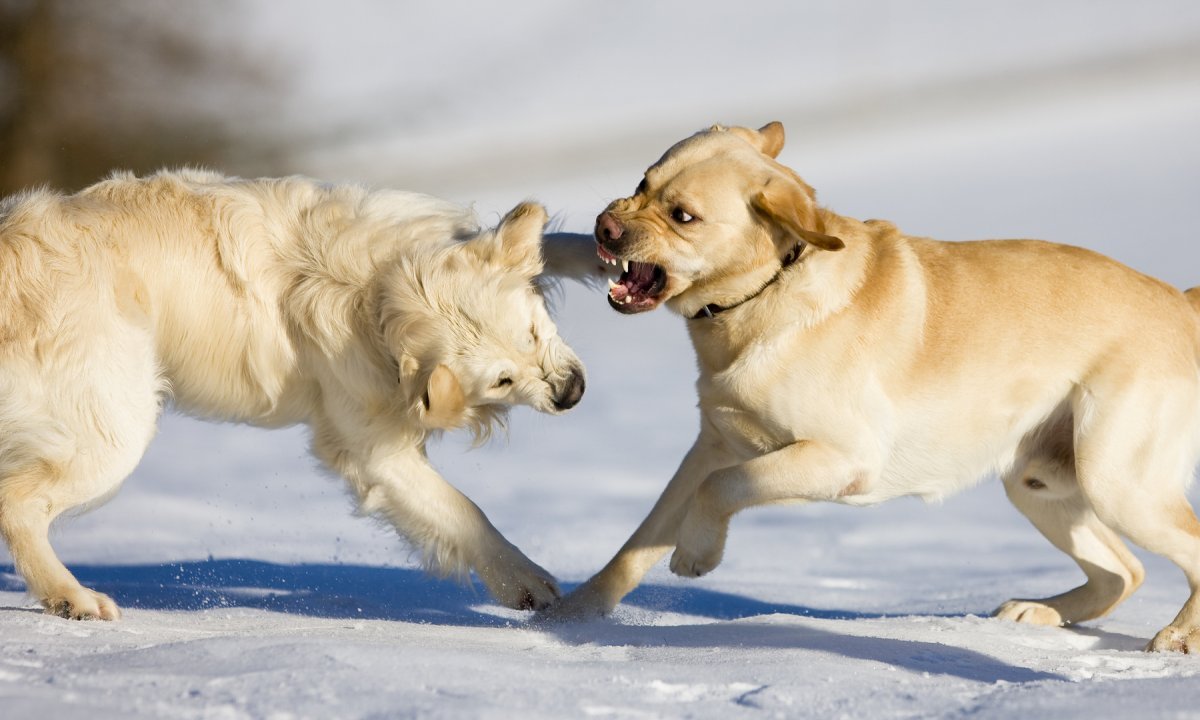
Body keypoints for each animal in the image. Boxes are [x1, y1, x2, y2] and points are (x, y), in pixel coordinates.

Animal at [0, 169, 585, 619]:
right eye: (501, 380)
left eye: (533, 332)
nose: (572, 393)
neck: (378, 290)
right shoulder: (375, 452)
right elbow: (464, 512)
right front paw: (526, 581)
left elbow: (552, 245)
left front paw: (593, 249)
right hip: (114, 428)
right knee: (17, 504)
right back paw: (72, 598)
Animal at [549, 122, 1200, 652]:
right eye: (643, 180)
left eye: (683, 215)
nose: (604, 227)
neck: (767, 291)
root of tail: (1181, 299)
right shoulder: (712, 445)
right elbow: (640, 540)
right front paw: (569, 619)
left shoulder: (840, 459)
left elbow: (719, 491)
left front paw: (696, 555)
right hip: (1038, 482)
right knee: (1125, 572)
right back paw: (1036, 613)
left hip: (1117, 479)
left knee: (1178, 553)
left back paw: (1176, 637)